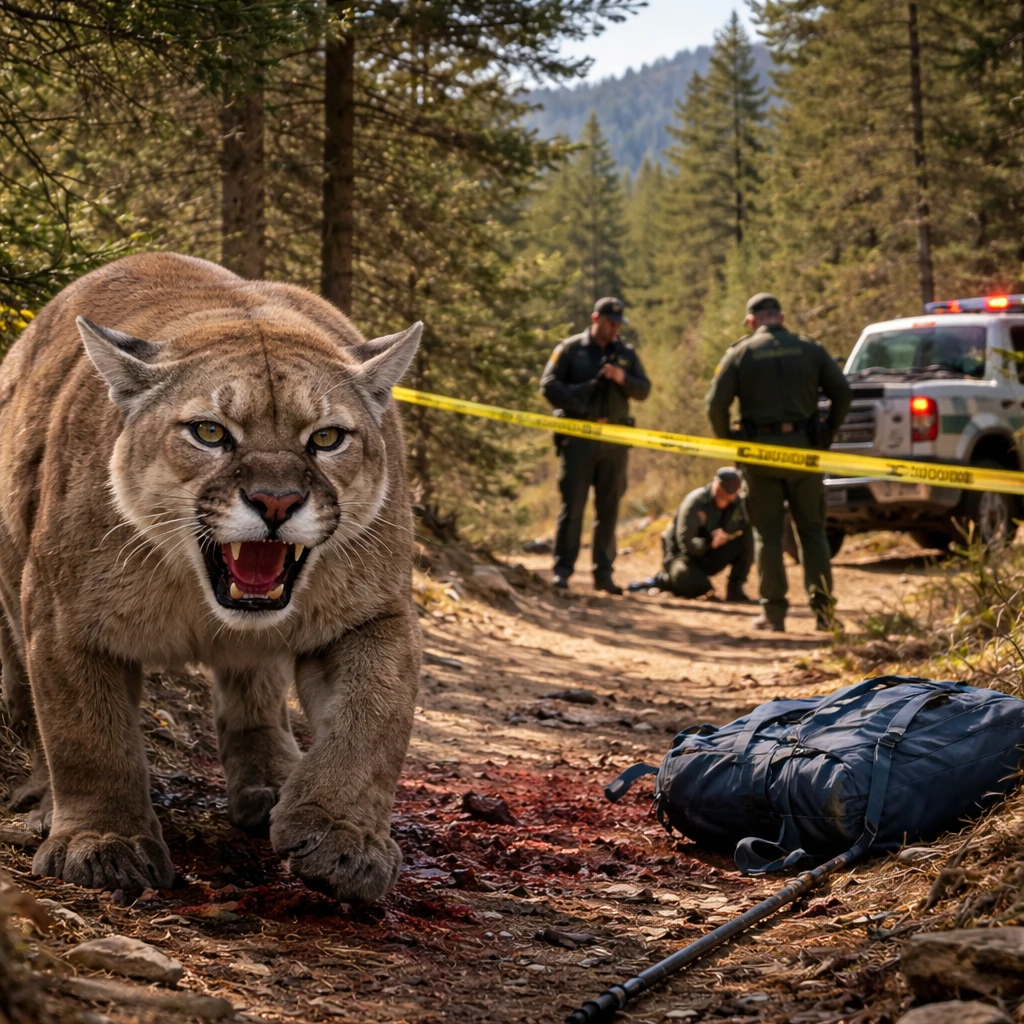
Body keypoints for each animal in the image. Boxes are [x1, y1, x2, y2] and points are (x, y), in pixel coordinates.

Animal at [0, 252, 423, 902]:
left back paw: (271, 780)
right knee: (28, 692)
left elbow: (373, 719)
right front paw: (102, 843)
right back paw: (43, 796)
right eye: (210, 432)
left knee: (255, 686)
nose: (276, 502)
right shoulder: (62, 618)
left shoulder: (375, 615)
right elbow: (86, 735)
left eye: (327, 438)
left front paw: (342, 836)